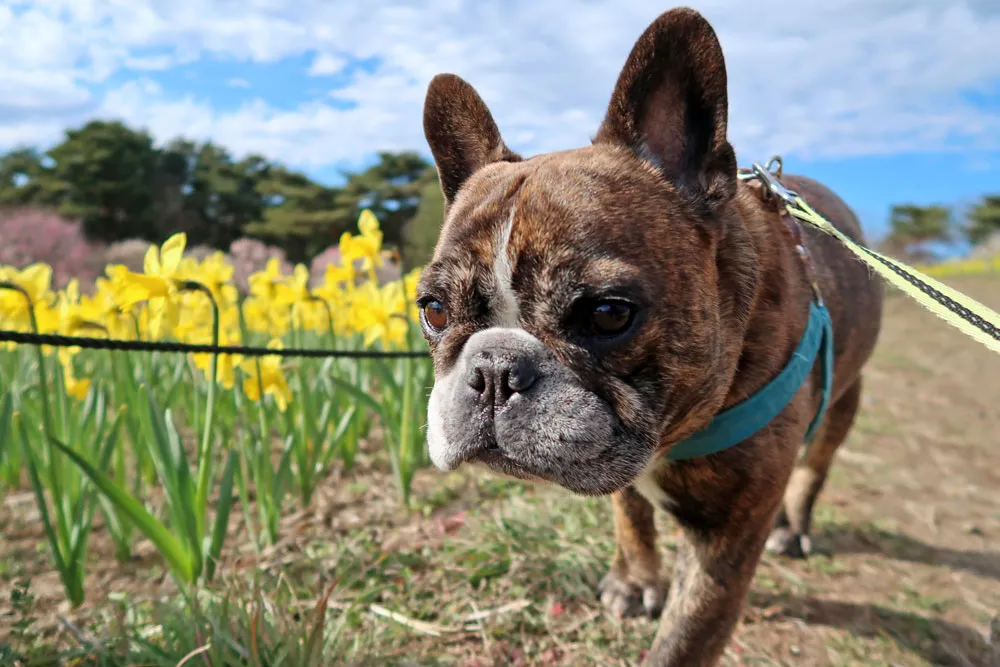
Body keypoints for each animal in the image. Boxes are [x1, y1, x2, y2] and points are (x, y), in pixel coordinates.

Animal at [414, 6, 884, 667]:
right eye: (433, 311)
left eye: (609, 314)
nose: (494, 371)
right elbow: (631, 515)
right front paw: (637, 581)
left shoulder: (725, 538)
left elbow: (686, 637)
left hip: (845, 399)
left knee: (816, 465)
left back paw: (795, 526)